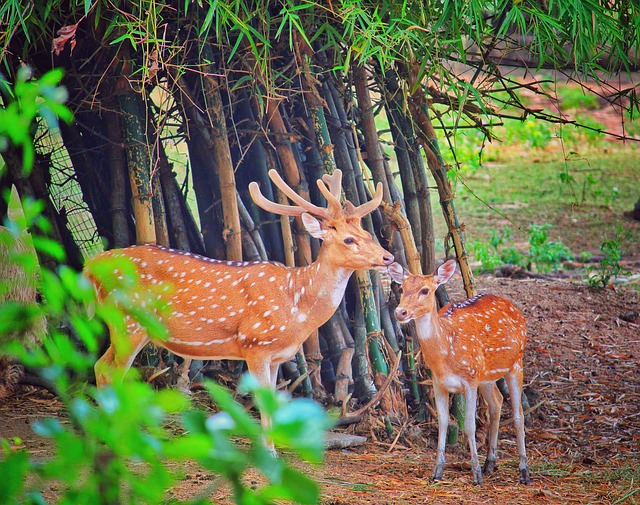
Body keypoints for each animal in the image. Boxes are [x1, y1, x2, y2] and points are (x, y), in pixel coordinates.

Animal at [84, 170, 392, 422]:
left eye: (367, 233)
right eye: (349, 239)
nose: (387, 257)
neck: (296, 306)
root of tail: (91, 265)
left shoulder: (277, 356)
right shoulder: (255, 343)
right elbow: (263, 405)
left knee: (100, 366)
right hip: (126, 321)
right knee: (110, 371)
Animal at [390, 260, 528, 484]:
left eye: (425, 290)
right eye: (401, 288)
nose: (400, 312)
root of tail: (514, 307)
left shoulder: (469, 380)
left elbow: (470, 425)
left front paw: (476, 474)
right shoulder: (438, 383)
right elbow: (443, 422)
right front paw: (437, 471)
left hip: (516, 362)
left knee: (518, 414)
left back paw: (523, 471)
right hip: (486, 376)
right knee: (497, 403)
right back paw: (490, 463)